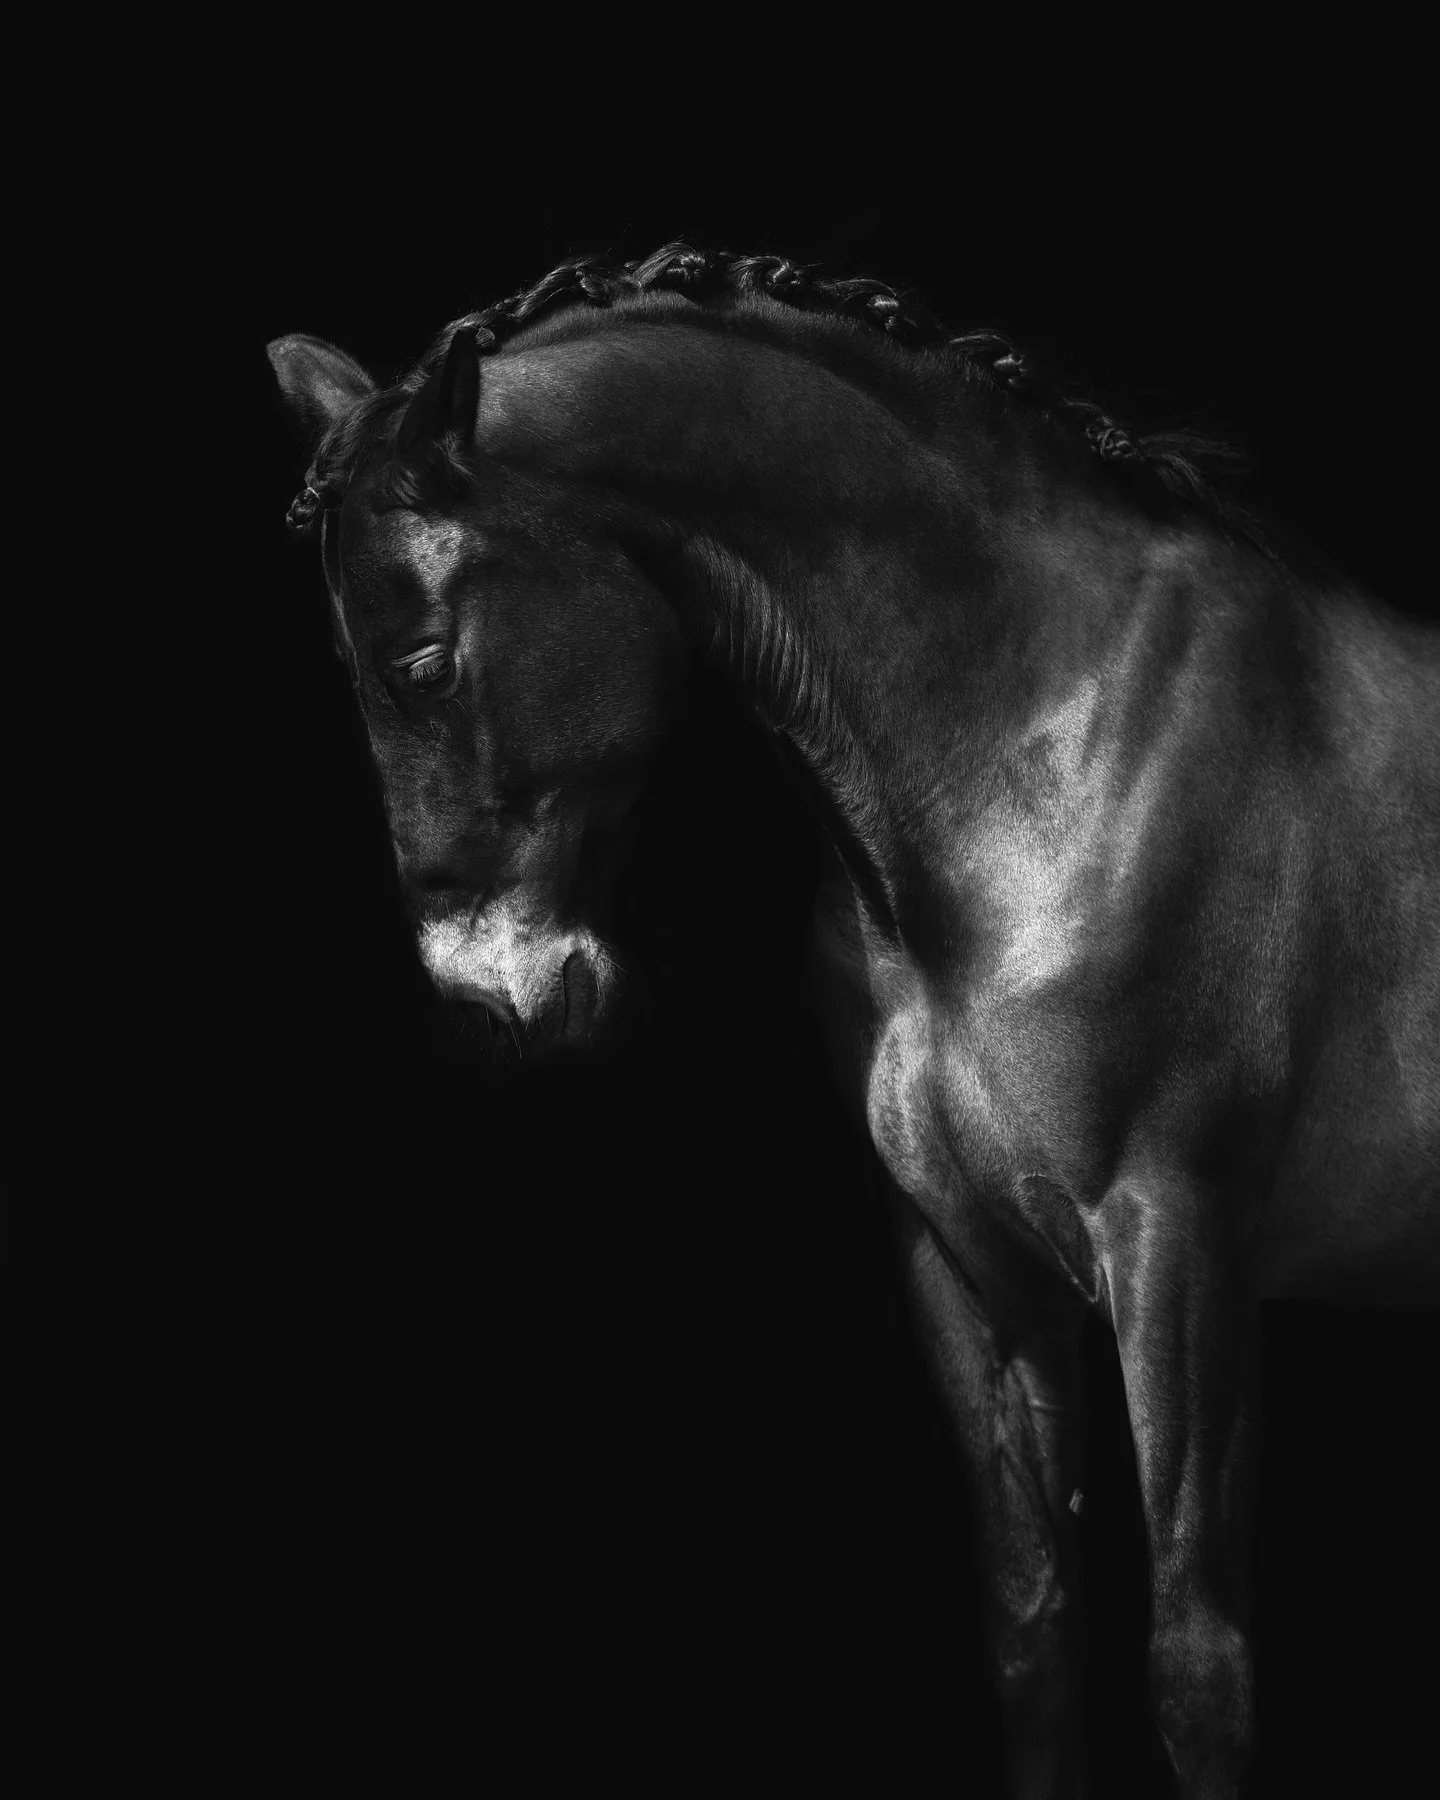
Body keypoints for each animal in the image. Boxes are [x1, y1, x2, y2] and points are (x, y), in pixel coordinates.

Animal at [267, 243, 1439, 1799]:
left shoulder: (1179, 1247)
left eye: (424, 663)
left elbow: (1199, 1674)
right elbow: (1034, 1629)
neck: (1049, 744)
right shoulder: (969, 1259)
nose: (493, 1006)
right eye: (357, 670)